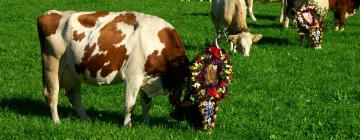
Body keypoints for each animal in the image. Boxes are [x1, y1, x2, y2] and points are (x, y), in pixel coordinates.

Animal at [36, 10, 190, 127]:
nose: (177, 117)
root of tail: (49, 14)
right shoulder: (133, 76)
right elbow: (130, 104)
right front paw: (127, 126)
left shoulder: (147, 77)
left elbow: (146, 104)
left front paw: (146, 123)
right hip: (52, 64)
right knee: (52, 94)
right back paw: (57, 121)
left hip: (73, 71)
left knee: (74, 95)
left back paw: (86, 119)